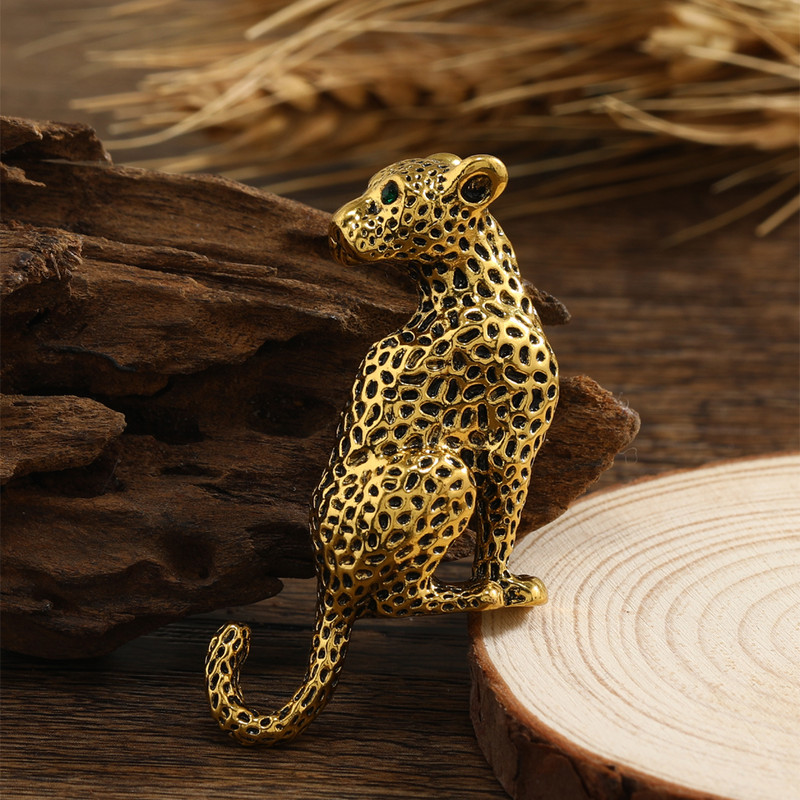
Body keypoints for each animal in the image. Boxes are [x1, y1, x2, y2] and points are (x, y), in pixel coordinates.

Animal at [205, 153, 559, 746]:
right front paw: (503, 587)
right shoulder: (511, 450)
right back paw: (468, 596)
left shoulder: (509, 448)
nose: (335, 225)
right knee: (397, 599)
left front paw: (501, 583)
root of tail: (328, 585)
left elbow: (498, 531)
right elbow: (501, 529)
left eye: (390, 192)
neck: (465, 288)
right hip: (443, 471)